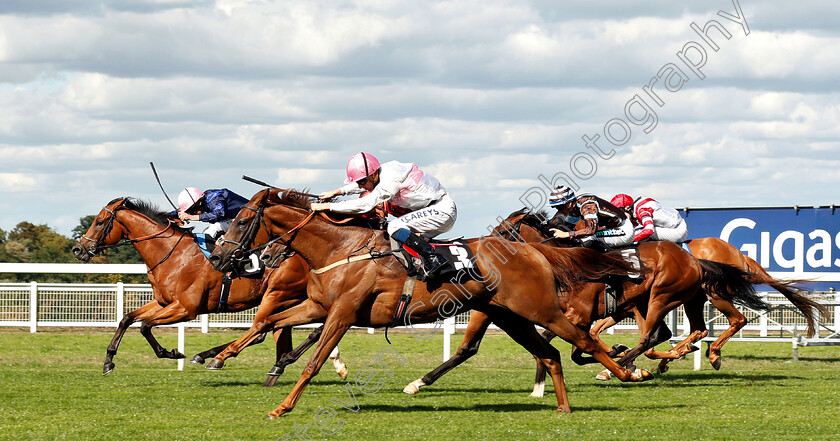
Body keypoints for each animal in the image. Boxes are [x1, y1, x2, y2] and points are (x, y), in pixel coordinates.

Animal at [70, 194, 348, 380]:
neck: (170, 253)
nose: (78, 249)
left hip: (278, 292)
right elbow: (127, 319)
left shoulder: (186, 308)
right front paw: (108, 361)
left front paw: (172, 353)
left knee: (262, 329)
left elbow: (145, 326)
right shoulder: (164, 302)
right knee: (279, 329)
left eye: (99, 222)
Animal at [210, 187, 656, 414]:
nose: (217, 258)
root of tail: (533, 249)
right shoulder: (319, 307)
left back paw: (629, 372)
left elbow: (313, 360)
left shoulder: (342, 312)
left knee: (585, 341)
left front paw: (283, 407)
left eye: (242, 220)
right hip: (510, 316)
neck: (342, 247)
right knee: (551, 353)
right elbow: (267, 322)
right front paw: (219, 355)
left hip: (539, 309)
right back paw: (562, 406)